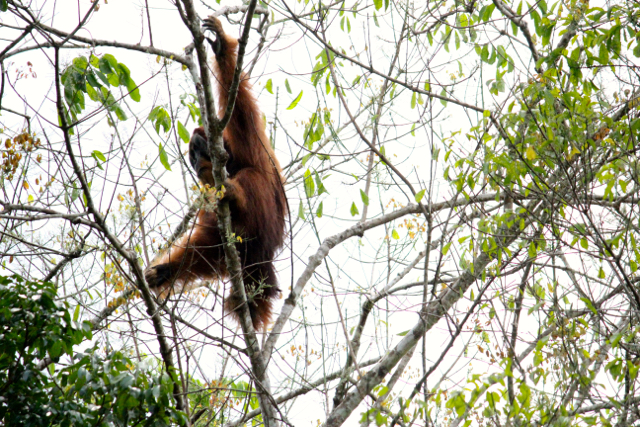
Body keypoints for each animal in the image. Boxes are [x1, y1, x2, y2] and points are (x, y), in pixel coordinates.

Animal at [144, 16, 287, 331]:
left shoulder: (247, 143)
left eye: (199, 150)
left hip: (265, 229)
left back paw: (235, 197)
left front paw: (221, 47)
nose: (197, 161)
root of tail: (262, 258)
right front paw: (164, 271)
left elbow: (241, 111)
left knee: (252, 179)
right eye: (192, 156)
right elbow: (210, 247)